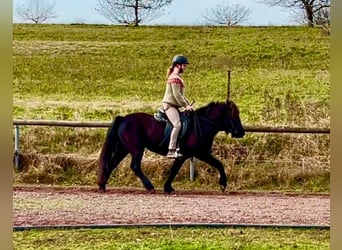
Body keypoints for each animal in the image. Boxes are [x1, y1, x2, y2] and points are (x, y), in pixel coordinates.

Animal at [97, 99, 244, 193]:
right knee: (135, 166)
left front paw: (223, 184)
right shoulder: (193, 153)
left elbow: (218, 164)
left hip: (123, 149)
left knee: (112, 163)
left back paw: (102, 185)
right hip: (136, 149)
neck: (203, 124)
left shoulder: (200, 153)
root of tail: (123, 118)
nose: (241, 132)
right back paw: (149, 187)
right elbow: (175, 170)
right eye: (234, 115)